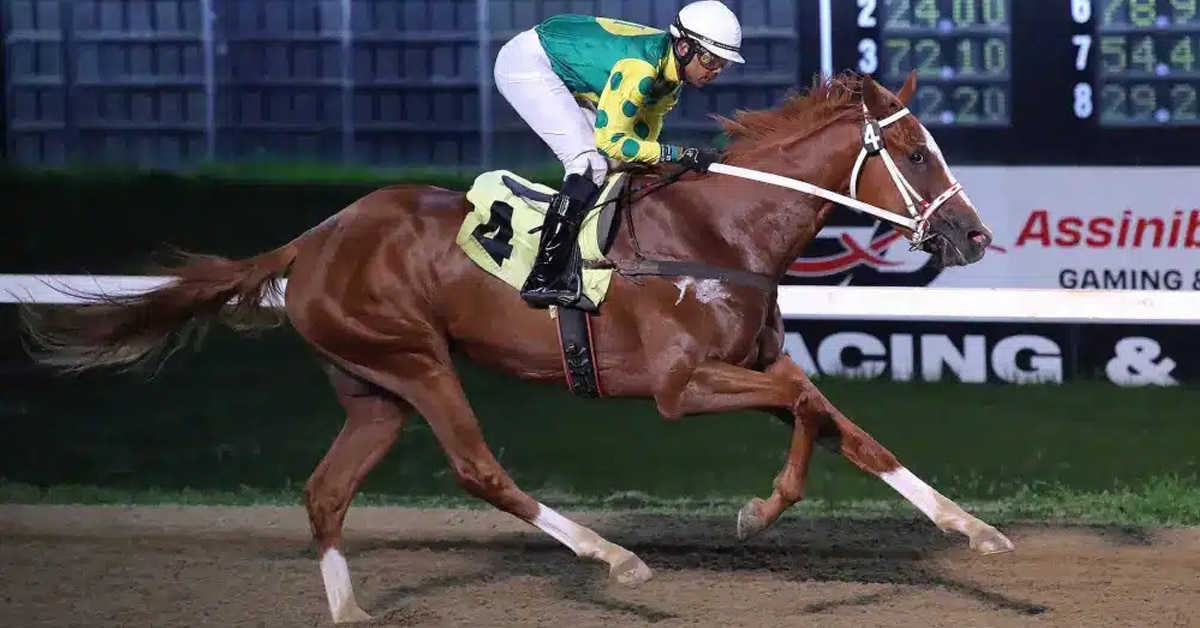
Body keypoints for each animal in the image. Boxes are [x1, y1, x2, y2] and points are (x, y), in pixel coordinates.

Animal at [19, 71, 1012, 624]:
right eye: (916, 156)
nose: (972, 235)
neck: (718, 230)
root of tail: (308, 242)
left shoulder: (757, 362)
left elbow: (850, 430)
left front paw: (975, 531)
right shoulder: (682, 385)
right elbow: (806, 412)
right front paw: (758, 512)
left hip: (373, 387)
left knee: (326, 491)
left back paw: (351, 611)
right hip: (416, 359)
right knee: (478, 469)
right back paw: (611, 557)